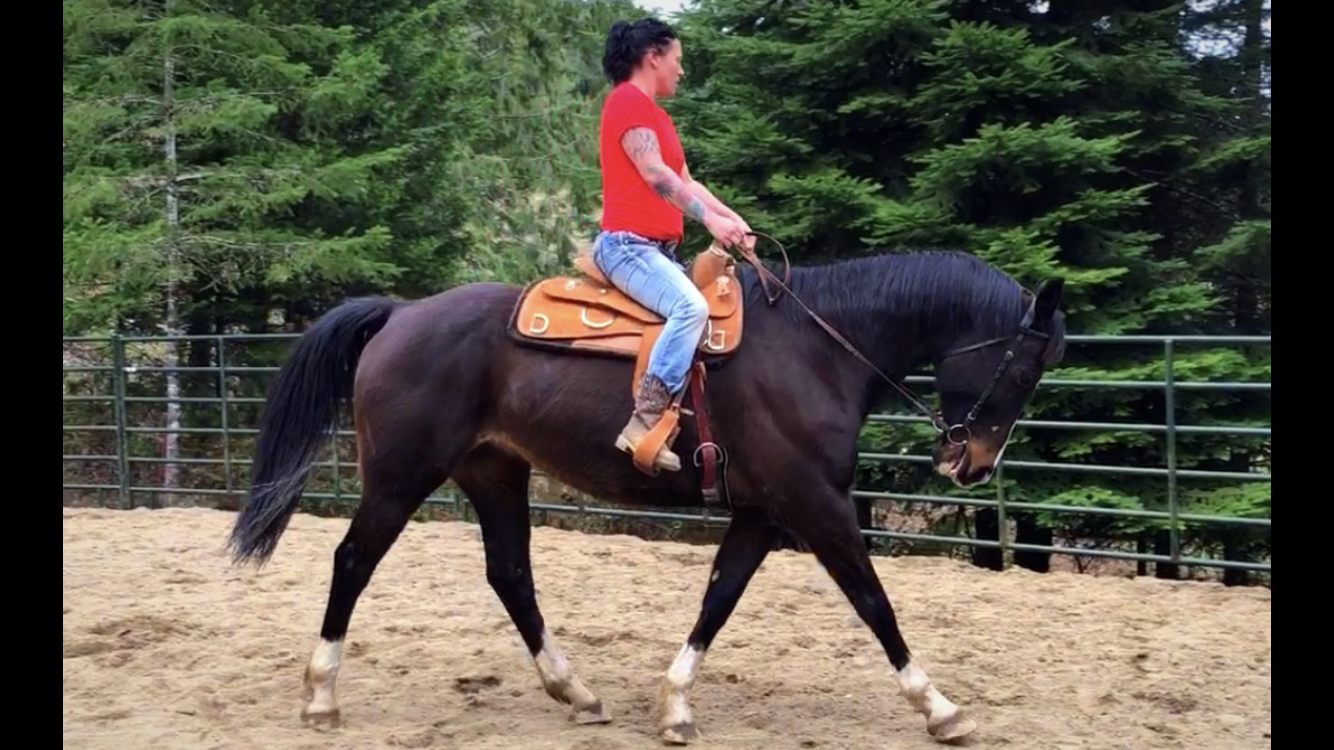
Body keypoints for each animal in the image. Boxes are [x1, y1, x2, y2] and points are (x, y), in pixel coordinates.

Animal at [225, 242, 1067, 746]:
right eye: (1026, 367)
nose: (973, 465)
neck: (819, 348)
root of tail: (401, 314)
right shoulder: (814, 505)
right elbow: (872, 600)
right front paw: (939, 706)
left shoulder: (761, 513)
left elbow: (719, 598)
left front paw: (673, 704)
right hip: (402, 476)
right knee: (353, 561)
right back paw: (321, 697)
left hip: (493, 471)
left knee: (511, 574)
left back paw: (575, 690)